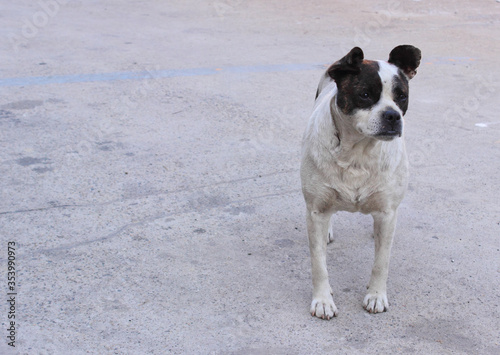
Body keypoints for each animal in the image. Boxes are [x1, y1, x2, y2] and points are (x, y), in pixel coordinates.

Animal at [300, 44, 422, 320]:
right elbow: (318, 263)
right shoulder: (317, 208)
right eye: (365, 94)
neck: (358, 153)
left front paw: (376, 296)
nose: (392, 116)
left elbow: (381, 262)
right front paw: (322, 300)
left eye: (402, 97)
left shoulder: (387, 212)